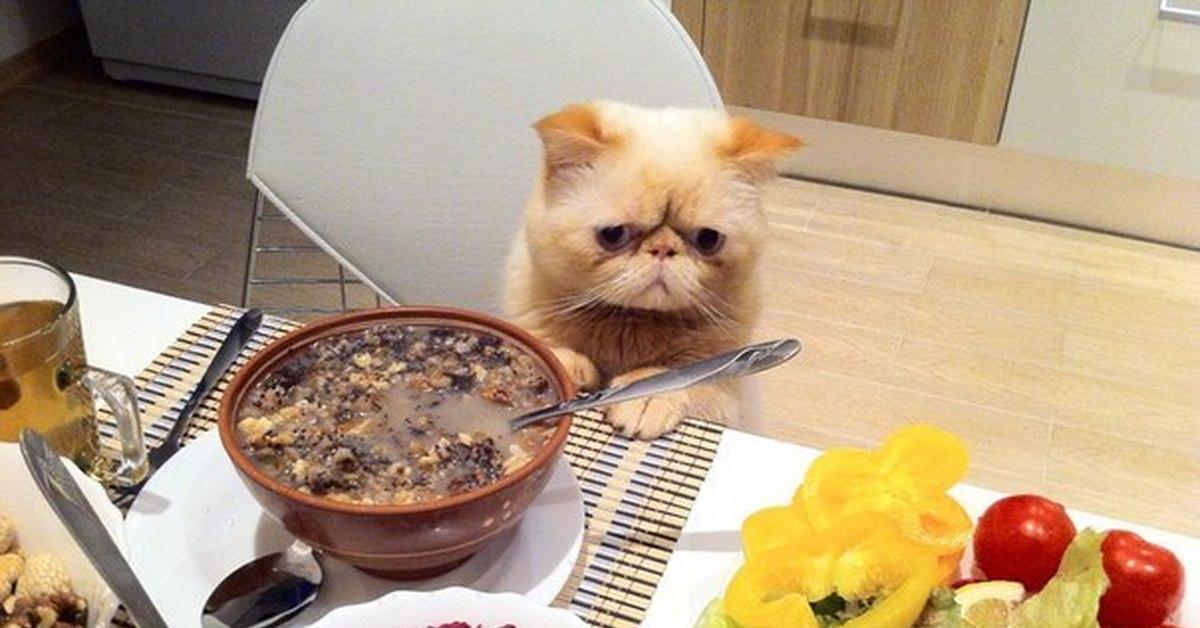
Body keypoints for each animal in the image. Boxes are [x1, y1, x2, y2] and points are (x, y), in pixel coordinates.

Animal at [504, 101, 799, 439]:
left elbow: (675, 379)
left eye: (708, 239)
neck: (630, 323)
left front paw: (643, 397)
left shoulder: (729, 400)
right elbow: (552, 351)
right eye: (613, 234)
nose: (663, 249)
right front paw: (569, 370)